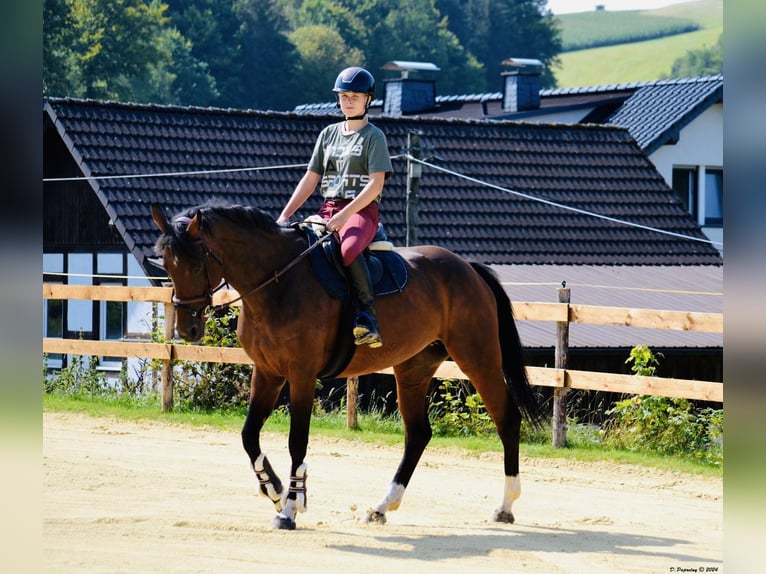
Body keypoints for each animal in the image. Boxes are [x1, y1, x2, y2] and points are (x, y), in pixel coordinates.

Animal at [153, 201, 544, 532]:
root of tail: (467, 268)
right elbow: (249, 435)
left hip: (478, 358)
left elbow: (297, 441)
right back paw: (382, 507)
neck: (278, 281)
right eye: (167, 265)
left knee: (507, 419)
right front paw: (275, 490)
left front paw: (291, 508)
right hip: (413, 369)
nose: (188, 329)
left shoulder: (301, 375)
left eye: (194, 263)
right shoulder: (267, 372)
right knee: (418, 434)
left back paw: (505, 506)